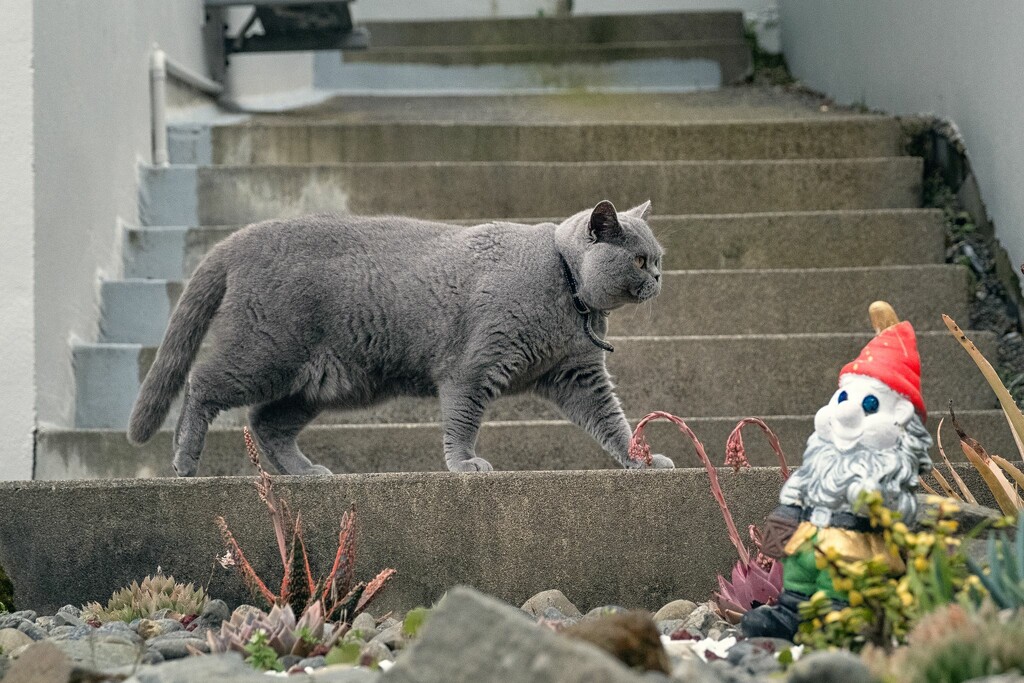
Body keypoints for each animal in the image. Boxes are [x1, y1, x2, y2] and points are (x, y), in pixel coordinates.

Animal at [128, 197, 675, 475]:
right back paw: (184, 459)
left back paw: (306, 473)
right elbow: (462, 420)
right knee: (202, 384)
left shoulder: (578, 375)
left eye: (657, 258)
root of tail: (238, 239)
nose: (659, 278)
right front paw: (465, 465)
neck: (565, 287)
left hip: (323, 382)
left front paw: (641, 460)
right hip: (267, 352)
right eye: (639, 260)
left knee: (266, 421)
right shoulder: (472, 369)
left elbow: (613, 421)